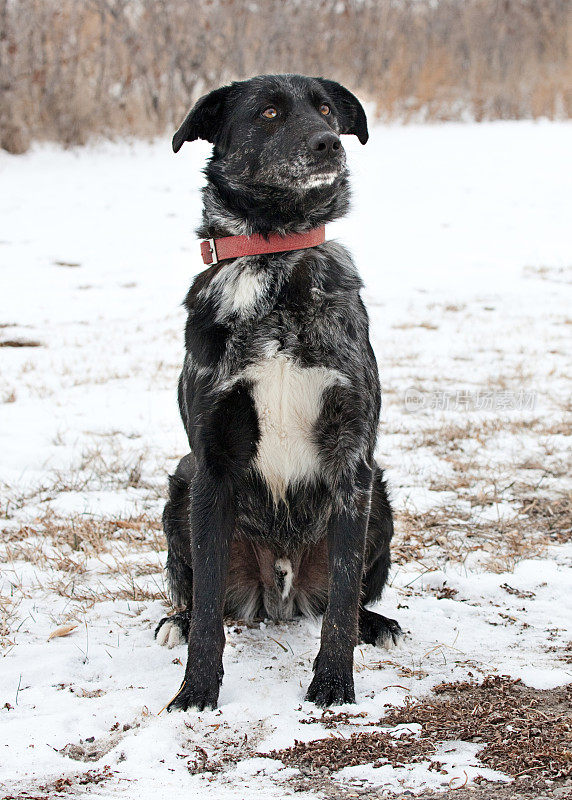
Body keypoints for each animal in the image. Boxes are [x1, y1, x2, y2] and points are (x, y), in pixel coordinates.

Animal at [154, 75, 400, 708]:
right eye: (268, 113)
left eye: (326, 111)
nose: (328, 145)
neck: (276, 255)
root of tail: (280, 596)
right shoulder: (212, 463)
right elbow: (209, 607)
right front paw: (196, 693)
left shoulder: (352, 462)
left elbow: (342, 598)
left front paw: (334, 682)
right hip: (181, 490)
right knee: (201, 597)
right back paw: (176, 621)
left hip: (382, 498)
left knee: (347, 598)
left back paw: (376, 624)